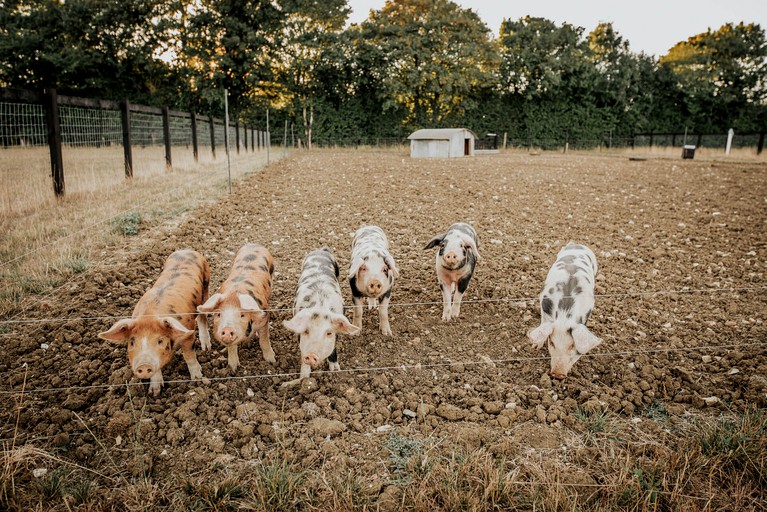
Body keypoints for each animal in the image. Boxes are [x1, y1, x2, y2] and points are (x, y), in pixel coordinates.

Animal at [100, 249, 213, 396]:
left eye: (160, 340)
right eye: (132, 342)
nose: (143, 365)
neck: (150, 315)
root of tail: (187, 250)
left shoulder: (188, 332)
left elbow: (189, 354)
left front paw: (198, 379)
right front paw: (154, 392)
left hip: (206, 285)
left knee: (202, 316)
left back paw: (206, 347)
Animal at [198, 243, 276, 372]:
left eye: (242, 314)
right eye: (218, 314)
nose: (227, 329)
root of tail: (254, 244)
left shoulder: (264, 317)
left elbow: (264, 340)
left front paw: (272, 361)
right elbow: (232, 347)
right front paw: (233, 369)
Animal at [282, 249, 360, 388]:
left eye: (329, 333)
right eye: (306, 331)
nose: (311, 355)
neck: (320, 305)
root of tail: (321, 250)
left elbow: (333, 348)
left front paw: (335, 370)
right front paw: (301, 380)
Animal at [532, 243, 604, 380]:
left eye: (572, 346)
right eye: (552, 343)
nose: (558, 374)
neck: (565, 314)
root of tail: (576, 244)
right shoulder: (544, 307)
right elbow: (543, 324)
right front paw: (535, 347)